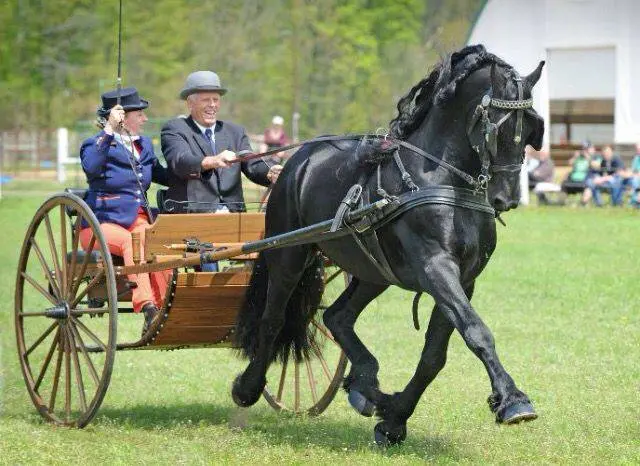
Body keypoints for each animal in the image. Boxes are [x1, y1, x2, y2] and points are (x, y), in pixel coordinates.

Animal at [232, 45, 544, 446]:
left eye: (531, 129)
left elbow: (434, 356)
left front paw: (394, 418)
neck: (442, 178)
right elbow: (477, 332)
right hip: (290, 255)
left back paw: (366, 386)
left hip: (373, 271)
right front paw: (512, 399)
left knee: (337, 316)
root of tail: (298, 160)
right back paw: (248, 387)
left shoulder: (464, 278)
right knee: (273, 319)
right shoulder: (436, 268)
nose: (507, 197)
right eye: (496, 127)